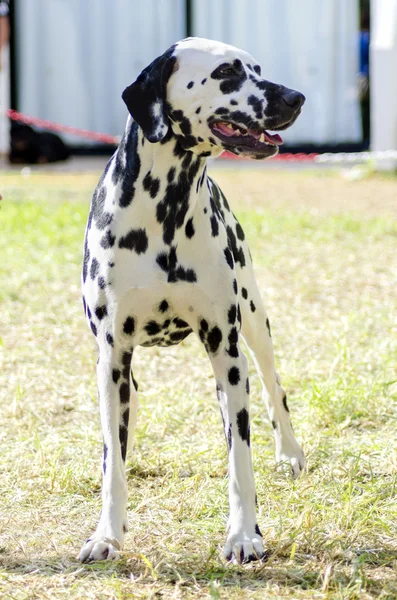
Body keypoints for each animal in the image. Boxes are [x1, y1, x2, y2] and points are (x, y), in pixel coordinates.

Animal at [79, 38, 304, 568]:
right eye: (225, 72)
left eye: (258, 69)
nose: (296, 98)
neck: (166, 212)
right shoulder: (112, 358)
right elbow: (112, 460)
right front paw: (107, 533)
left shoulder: (227, 351)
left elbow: (240, 459)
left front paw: (244, 536)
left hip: (256, 327)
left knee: (274, 387)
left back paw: (290, 452)